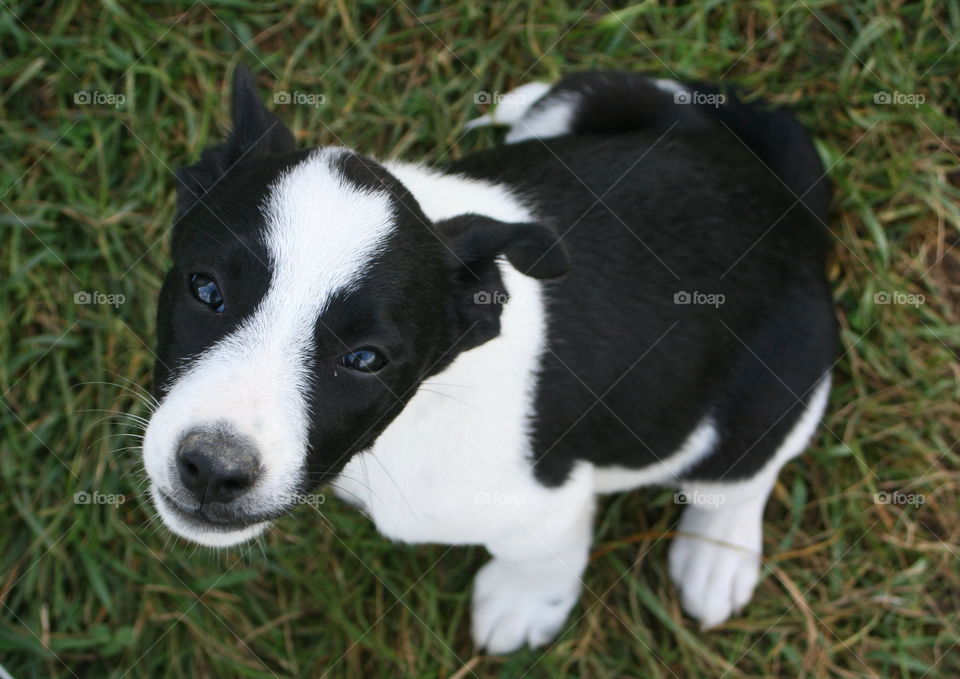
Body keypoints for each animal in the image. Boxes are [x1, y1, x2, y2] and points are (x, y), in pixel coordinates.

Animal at [141, 67, 832, 652]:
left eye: (365, 359)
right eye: (206, 290)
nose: (212, 469)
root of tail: (781, 195)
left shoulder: (544, 499)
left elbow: (544, 552)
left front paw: (524, 602)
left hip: (769, 389)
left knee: (744, 472)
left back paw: (717, 554)